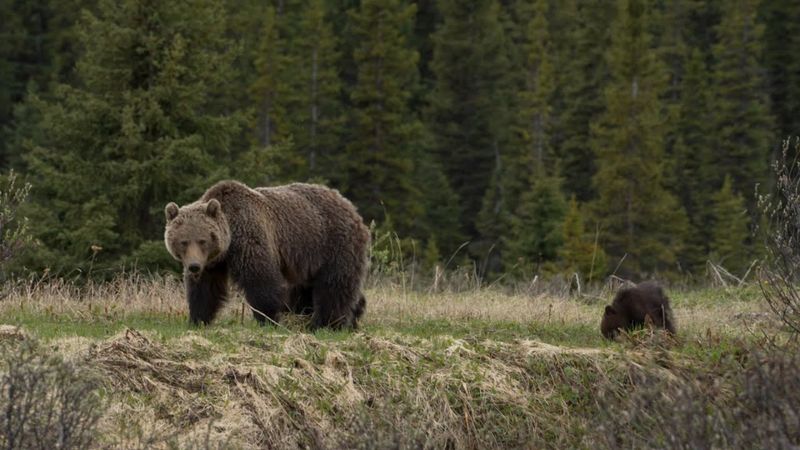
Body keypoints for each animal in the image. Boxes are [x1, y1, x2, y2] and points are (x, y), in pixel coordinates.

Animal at [166, 180, 372, 330]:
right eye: (183, 241)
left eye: (202, 240)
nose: (193, 266)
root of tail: (349, 205)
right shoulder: (213, 262)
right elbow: (205, 289)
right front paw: (197, 319)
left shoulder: (249, 238)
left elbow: (261, 280)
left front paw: (268, 319)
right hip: (308, 258)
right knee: (308, 288)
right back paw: (351, 316)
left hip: (333, 243)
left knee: (334, 285)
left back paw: (325, 324)